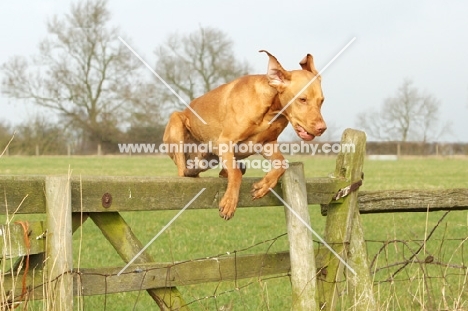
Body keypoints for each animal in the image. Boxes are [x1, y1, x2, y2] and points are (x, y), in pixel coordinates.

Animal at [164, 50, 326, 219]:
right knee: (184, 172)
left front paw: (264, 185)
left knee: (231, 168)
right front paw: (229, 202)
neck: (271, 109)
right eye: (302, 99)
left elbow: (282, 163)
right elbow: (235, 173)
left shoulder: (267, 144)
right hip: (177, 124)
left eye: (321, 101)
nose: (322, 128)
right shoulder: (225, 141)